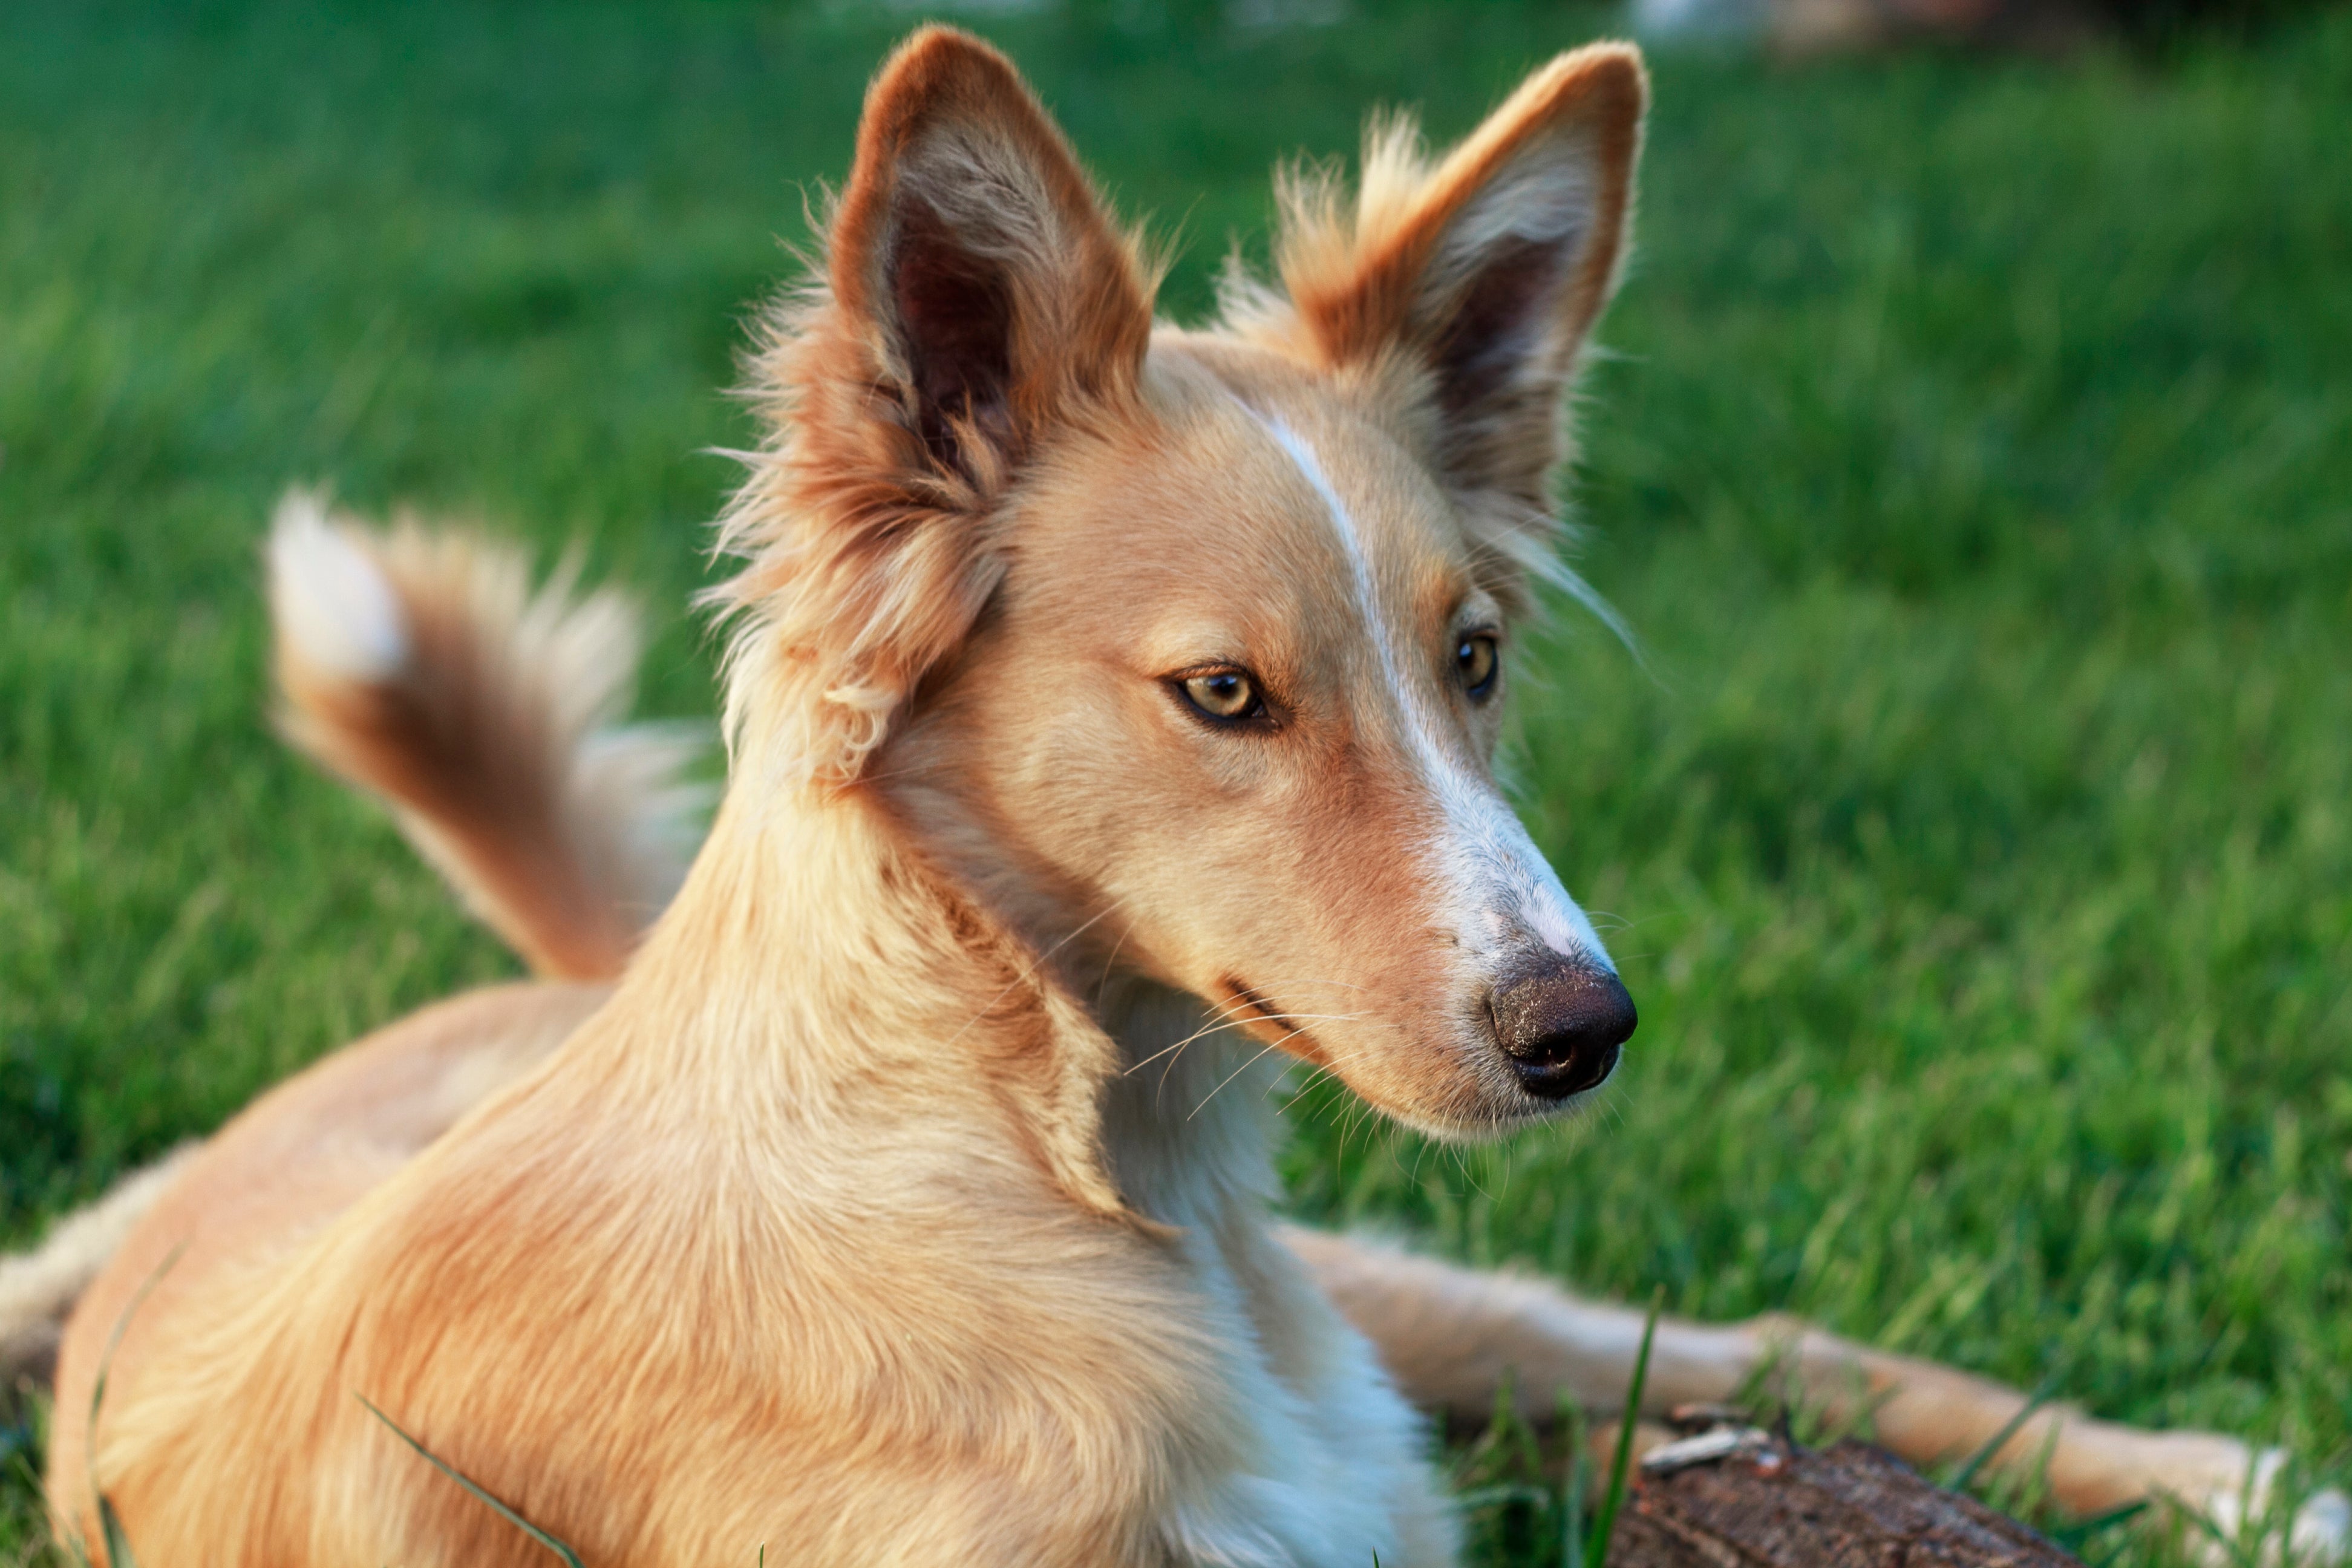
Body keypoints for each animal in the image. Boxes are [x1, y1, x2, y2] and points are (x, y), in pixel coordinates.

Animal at [9, 24, 2342, 1568]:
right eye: (1224, 694)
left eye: (1472, 656)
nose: (1581, 1030)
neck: (1039, 1153)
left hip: (1431, 1312)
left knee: (1762, 1348)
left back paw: (2236, 1485)